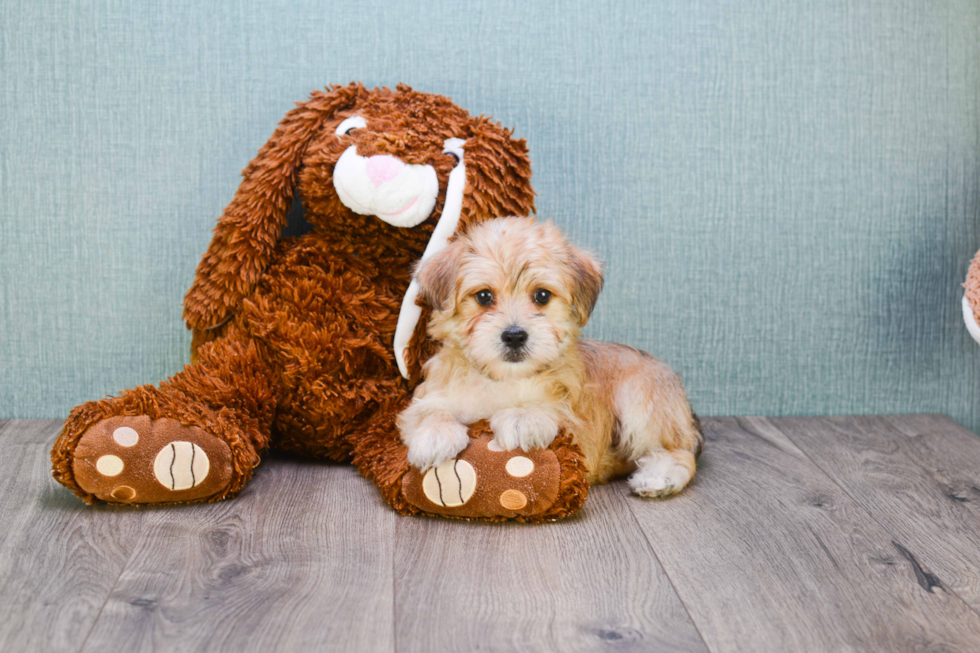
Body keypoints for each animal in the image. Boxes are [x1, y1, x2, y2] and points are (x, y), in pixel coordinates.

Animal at [398, 216, 704, 496]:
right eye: (484, 296)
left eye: (542, 296)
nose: (514, 335)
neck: (503, 380)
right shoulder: (429, 394)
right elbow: (426, 410)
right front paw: (435, 434)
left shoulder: (580, 430)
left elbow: (553, 409)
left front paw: (523, 417)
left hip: (641, 400)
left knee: (679, 451)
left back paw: (658, 477)